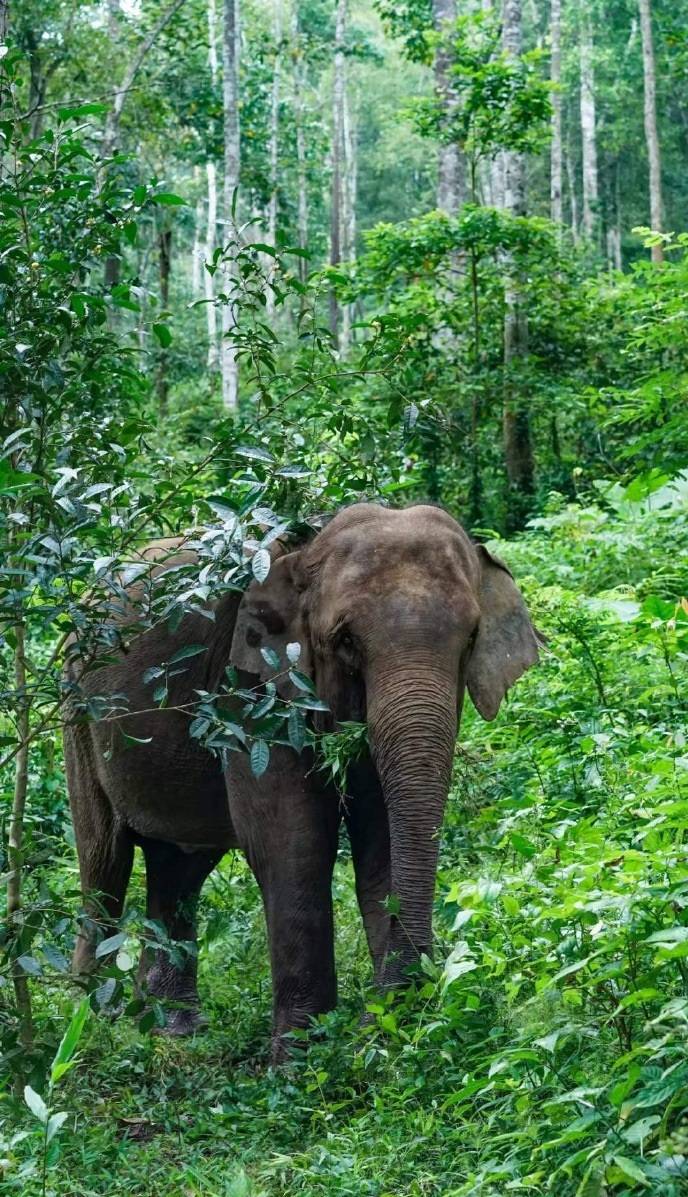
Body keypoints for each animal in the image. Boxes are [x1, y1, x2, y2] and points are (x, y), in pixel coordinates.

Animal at [63, 502, 541, 1056]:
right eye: (345, 641)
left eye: (470, 640)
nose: (380, 1015)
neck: (307, 550)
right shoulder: (249, 687)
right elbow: (291, 838)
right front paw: (300, 1058)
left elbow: (380, 834)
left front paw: (380, 1040)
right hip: (76, 711)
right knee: (104, 858)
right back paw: (91, 1021)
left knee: (180, 864)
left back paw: (171, 1028)